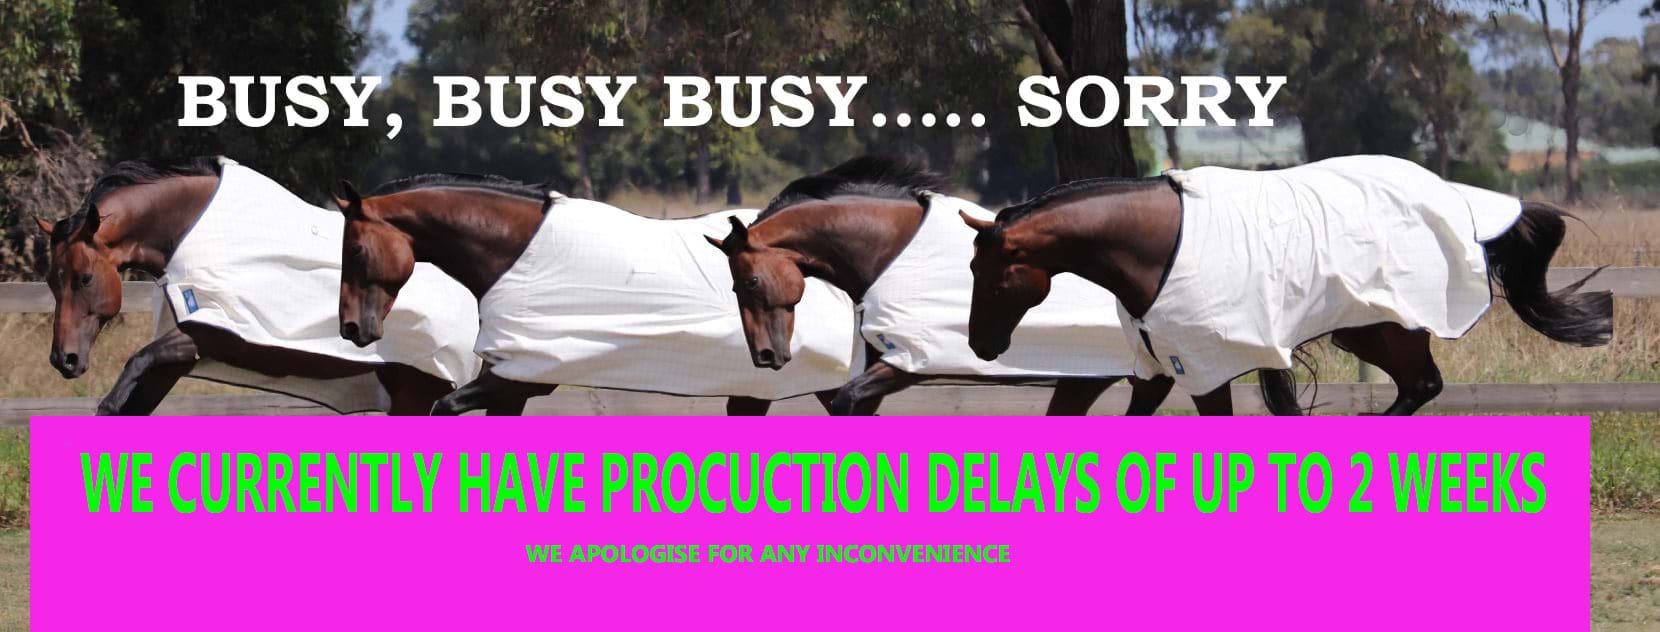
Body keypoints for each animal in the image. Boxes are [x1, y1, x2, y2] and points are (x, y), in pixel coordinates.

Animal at [38, 157, 472, 415]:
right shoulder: (181, 356)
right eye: (50, 281)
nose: (64, 359)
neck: (196, 229)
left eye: (84, 278)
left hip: (418, 388)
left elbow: (129, 375)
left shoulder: (211, 331)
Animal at [332, 174, 857, 416]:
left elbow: (442, 408)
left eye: (354, 249)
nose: (352, 328)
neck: (517, 256)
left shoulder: (514, 377)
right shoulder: (515, 382)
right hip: (755, 388)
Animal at [705, 156, 1175, 416]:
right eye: (734, 288)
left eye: (749, 281)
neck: (890, 255)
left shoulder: (908, 363)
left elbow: (844, 402)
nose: (766, 356)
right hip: (1088, 381)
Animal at [961, 155, 1614, 415]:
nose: (981, 347)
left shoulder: (1207, 366)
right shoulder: (1157, 366)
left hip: (1394, 325)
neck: (1159, 247)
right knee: (1417, 387)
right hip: (1362, 331)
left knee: (1422, 386)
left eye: (990, 277)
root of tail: (1460, 200)